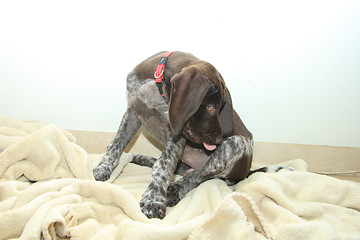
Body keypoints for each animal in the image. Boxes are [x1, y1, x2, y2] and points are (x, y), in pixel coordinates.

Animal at [92, 51, 292, 218]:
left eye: (220, 107)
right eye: (210, 106)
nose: (219, 139)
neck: (156, 87)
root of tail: (244, 173)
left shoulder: (176, 131)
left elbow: (165, 164)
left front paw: (154, 198)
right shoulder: (133, 113)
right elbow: (116, 144)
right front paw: (104, 167)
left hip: (235, 144)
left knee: (201, 176)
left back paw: (175, 189)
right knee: (182, 169)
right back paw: (143, 159)